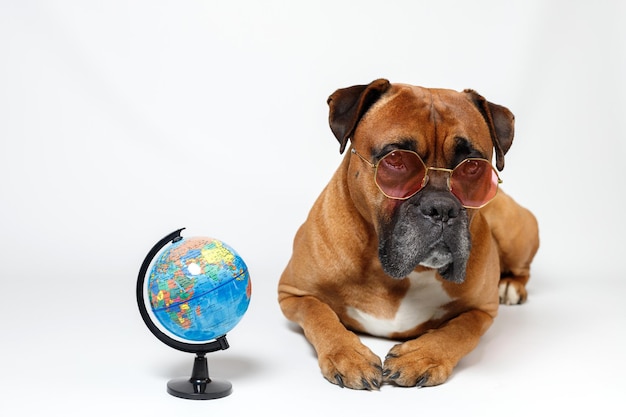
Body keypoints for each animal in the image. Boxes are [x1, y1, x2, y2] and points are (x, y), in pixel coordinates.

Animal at [276, 79, 536, 390]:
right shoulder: (293, 293)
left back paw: (510, 285)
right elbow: (320, 314)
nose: (442, 207)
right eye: (397, 161)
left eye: (473, 167)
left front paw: (421, 356)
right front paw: (348, 356)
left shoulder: (483, 310)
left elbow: (460, 329)